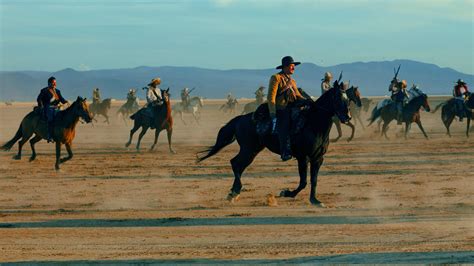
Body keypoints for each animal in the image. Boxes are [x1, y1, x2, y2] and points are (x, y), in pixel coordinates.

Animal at [197, 80, 352, 207]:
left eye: (348, 99)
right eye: (337, 98)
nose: (348, 116)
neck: (313, 124)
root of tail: (241, 119)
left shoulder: (318, 158)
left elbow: (314, 180)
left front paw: (315, 200)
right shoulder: (303, 157)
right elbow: (303, 182)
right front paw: (286, 193)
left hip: (253, 150)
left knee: (239, 165)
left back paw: (233, 193)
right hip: (248, 149)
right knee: (235, 163)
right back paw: (235, 191)